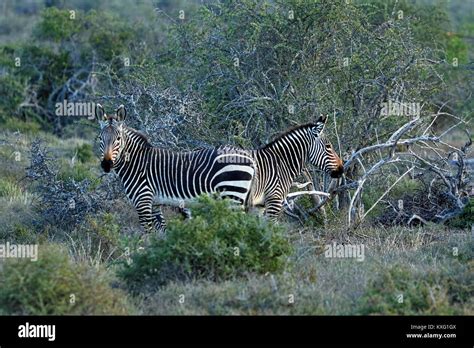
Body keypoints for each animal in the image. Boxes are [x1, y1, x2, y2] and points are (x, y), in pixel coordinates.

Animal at [96, 104, 256, 234]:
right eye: (100, 138)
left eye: (118, 139)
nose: (106, 164)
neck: (136, 162)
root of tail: (248, 157)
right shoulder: (155, 203)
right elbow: (161, 231)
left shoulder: (143, 201)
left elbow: (147, 235)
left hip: (232, 195)